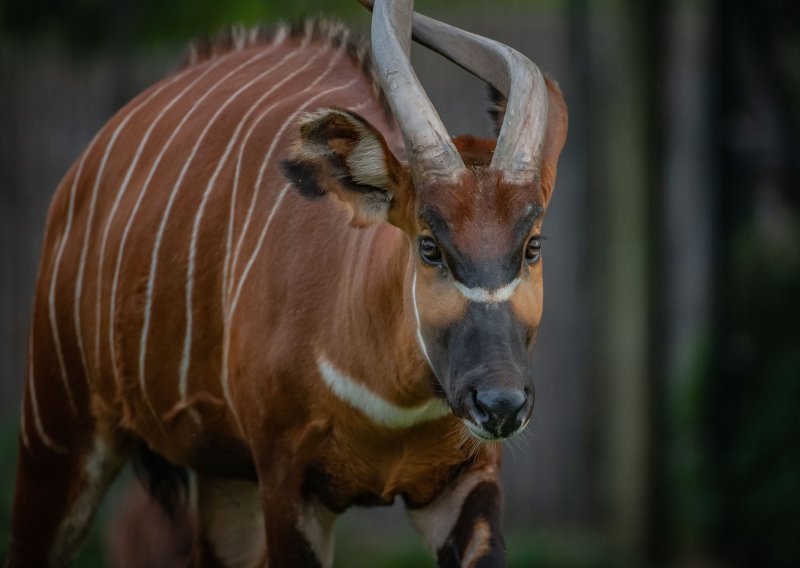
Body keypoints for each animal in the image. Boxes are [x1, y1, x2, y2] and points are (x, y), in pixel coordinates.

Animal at [9, 1, 564, 564]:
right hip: (55, 436)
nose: (501, 404)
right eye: (429, 245)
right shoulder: (288, 483)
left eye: (532, 245)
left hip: (226, 479)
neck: (389, 400)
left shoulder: (465, 481)